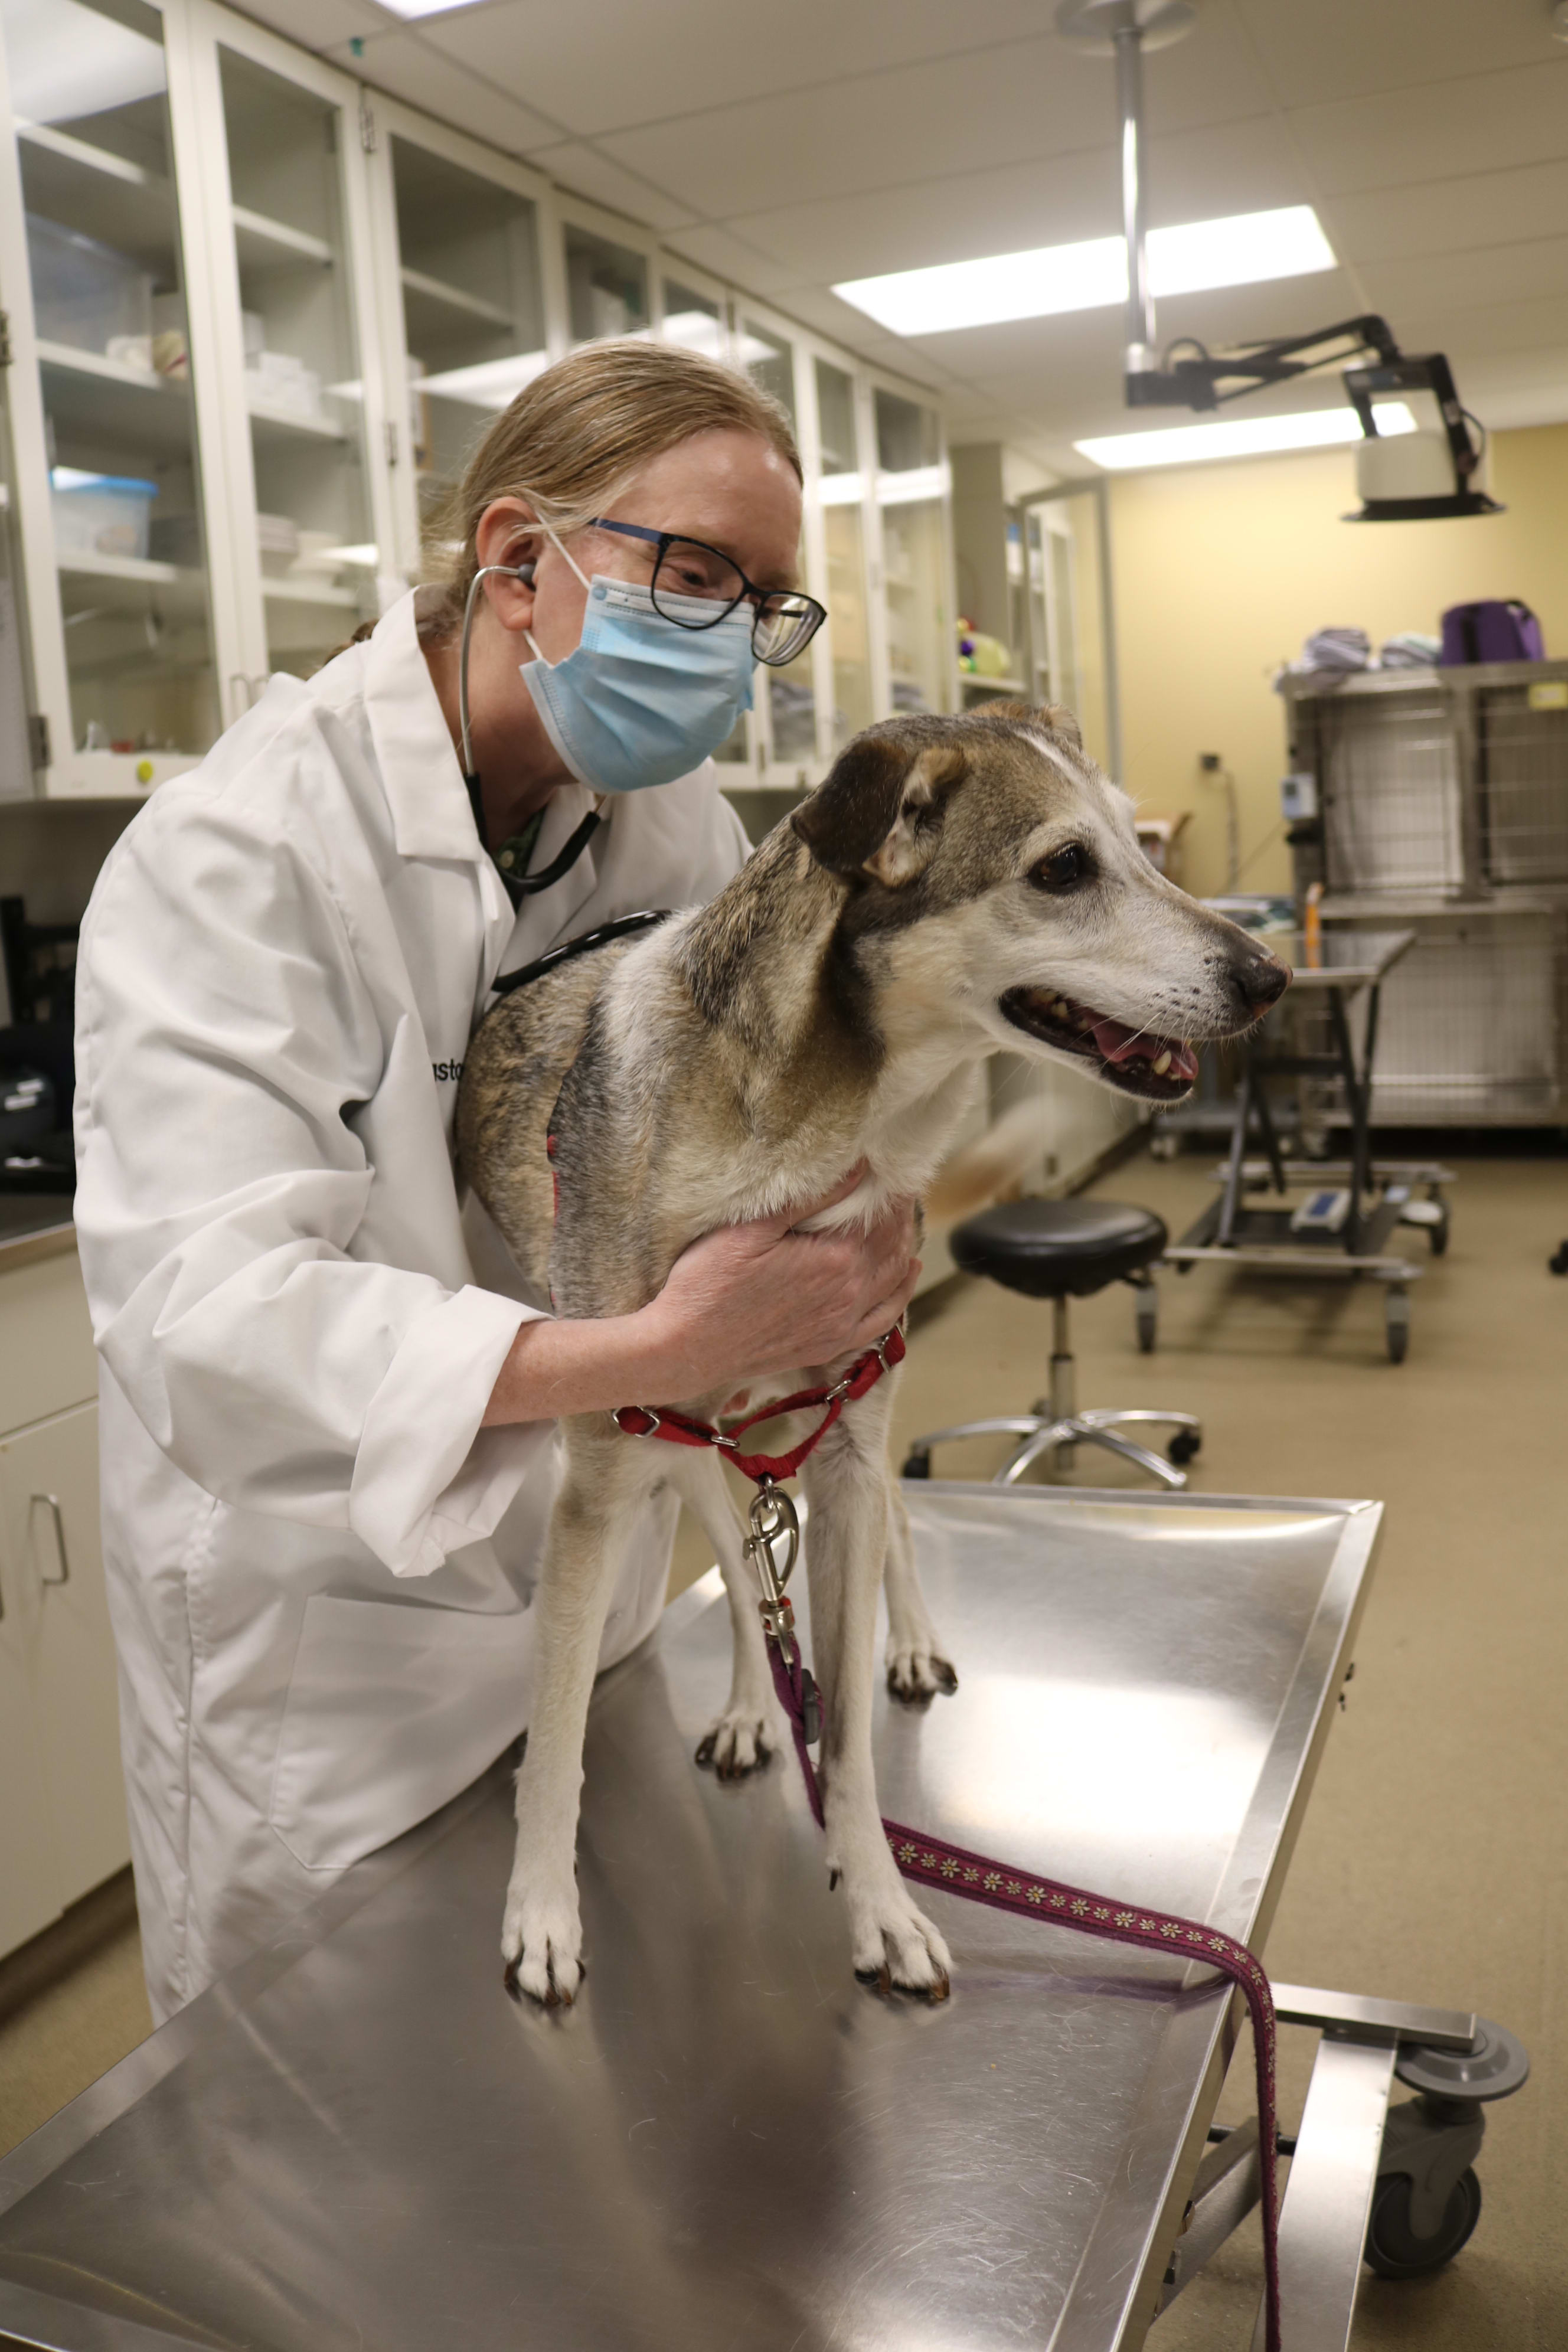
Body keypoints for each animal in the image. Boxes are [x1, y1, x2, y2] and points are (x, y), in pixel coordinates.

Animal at [456, 696, 1288, 2004]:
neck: (826, 1127)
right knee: (739, 1562)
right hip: (688, 1444)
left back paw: (909, 1646)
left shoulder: (847, 1444)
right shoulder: (605, 1476)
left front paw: (881, 1901)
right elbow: (558, 1734)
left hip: (860, 1411)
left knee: (889, 1528)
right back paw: (753, 1703)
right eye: (1063, 868)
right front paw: (541, 1911)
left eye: (1135, 844)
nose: (1270, 977)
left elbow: (844, 1737)